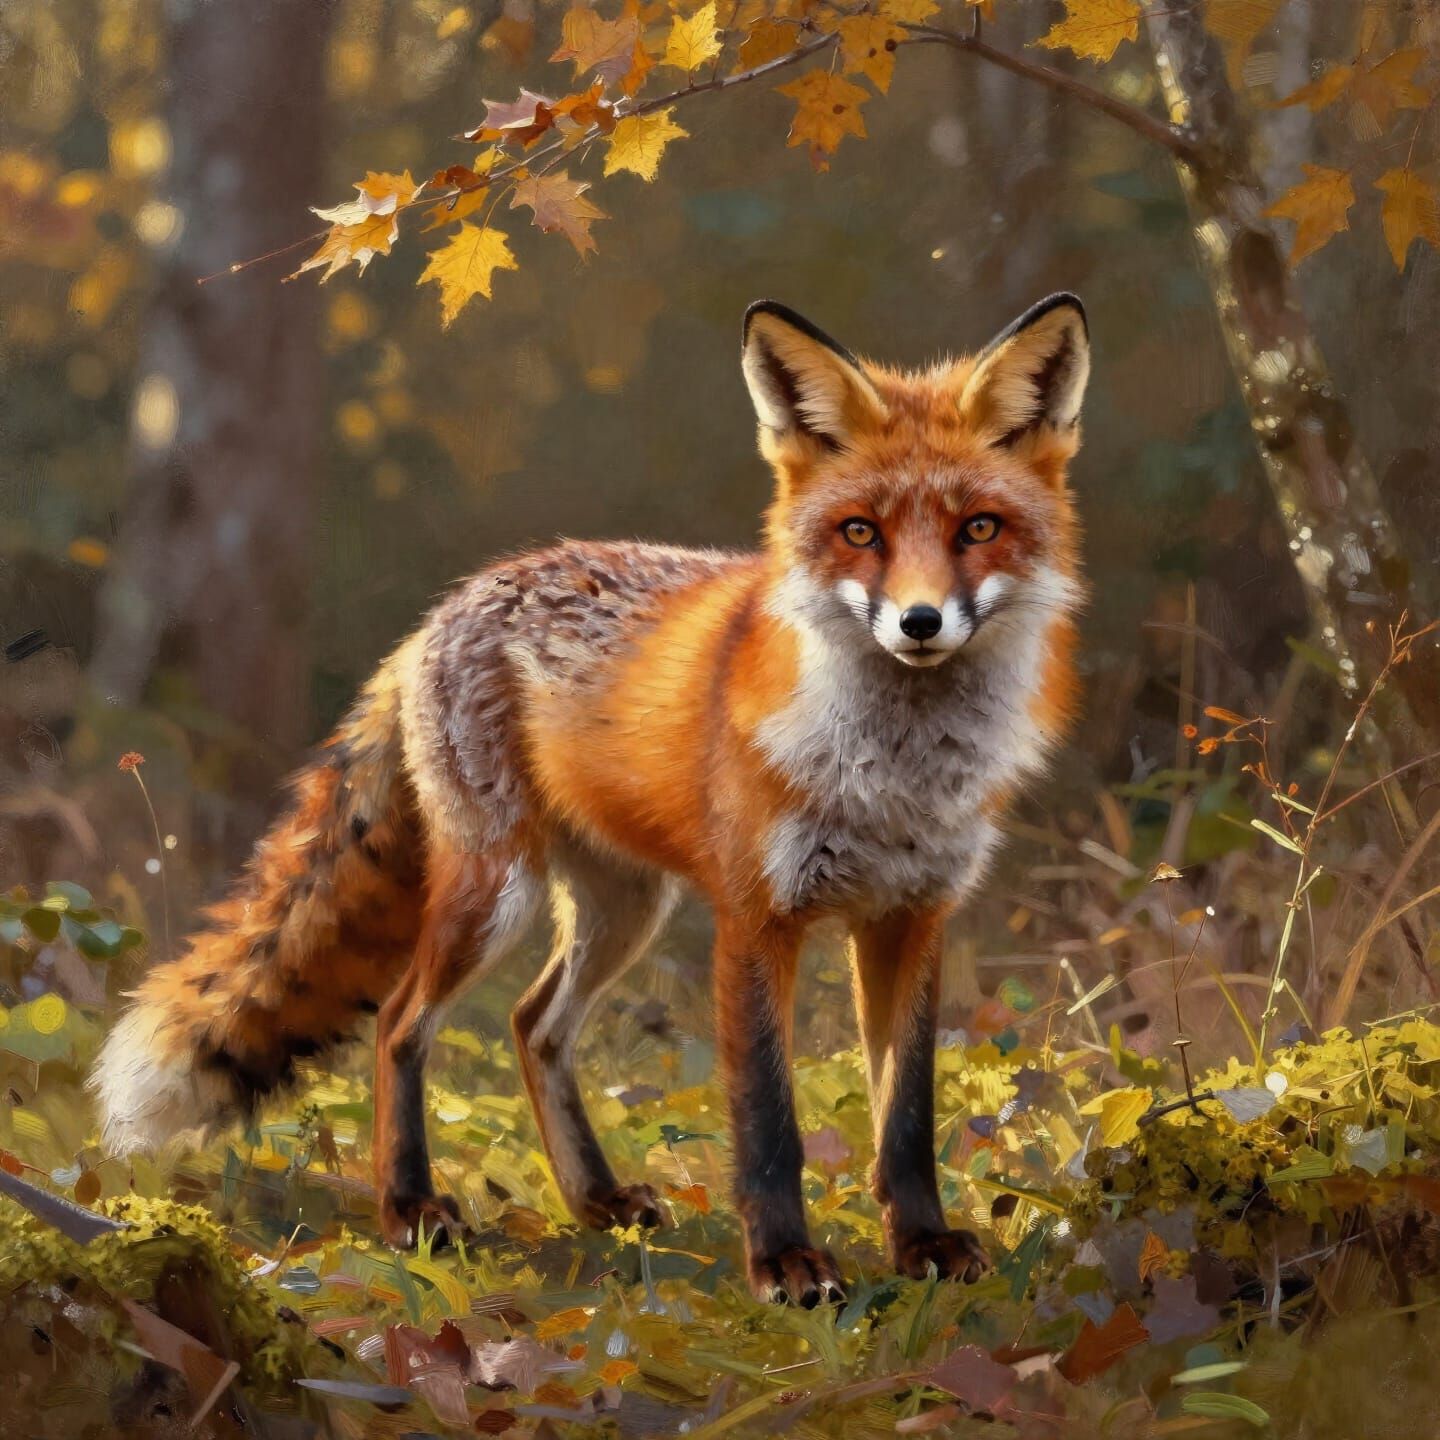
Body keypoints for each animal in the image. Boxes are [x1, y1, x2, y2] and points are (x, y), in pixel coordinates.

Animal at [92, 293, 1089, 1305]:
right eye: (860, 533)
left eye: (978, 529)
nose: (920, 623)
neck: (895, 779)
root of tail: (440, 614)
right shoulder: (756, 917)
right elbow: (768, 1121)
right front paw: (783, 1264)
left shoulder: (913, 917)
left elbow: (908, 1116)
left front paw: (925, 1245)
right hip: (496, 894)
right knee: (402, 1022)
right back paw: (411, 1208)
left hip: (625, 909)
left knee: (535, 1025)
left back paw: (595, 1198)